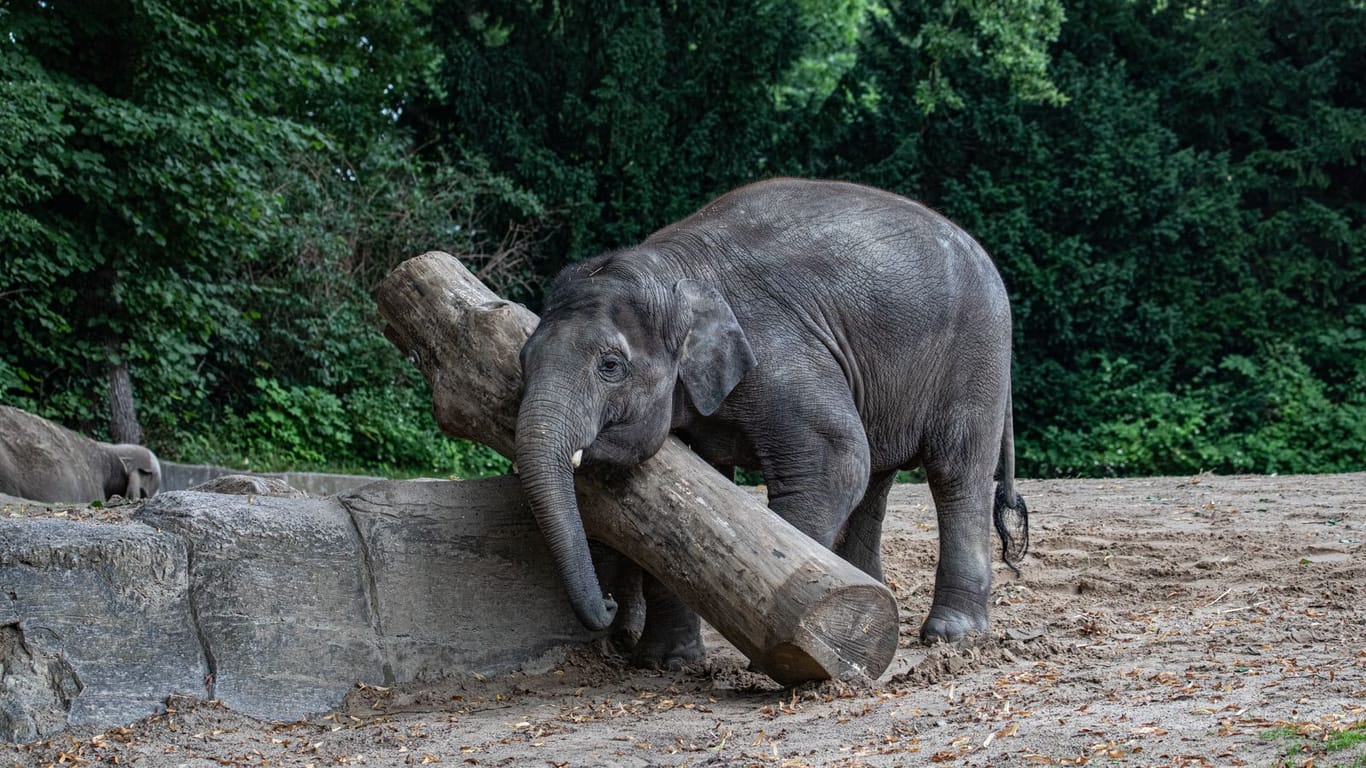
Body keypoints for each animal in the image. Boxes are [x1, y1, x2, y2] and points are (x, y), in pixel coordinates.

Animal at [516, 176, 1027, 666]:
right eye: (524, 358)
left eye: (610, 366)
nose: (608, 607)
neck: (671, 267)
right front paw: (666, 663)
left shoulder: (780, 354)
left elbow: (835, 462)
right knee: (878, 480)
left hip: (975, 355)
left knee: (954, 473)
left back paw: (951, 635)